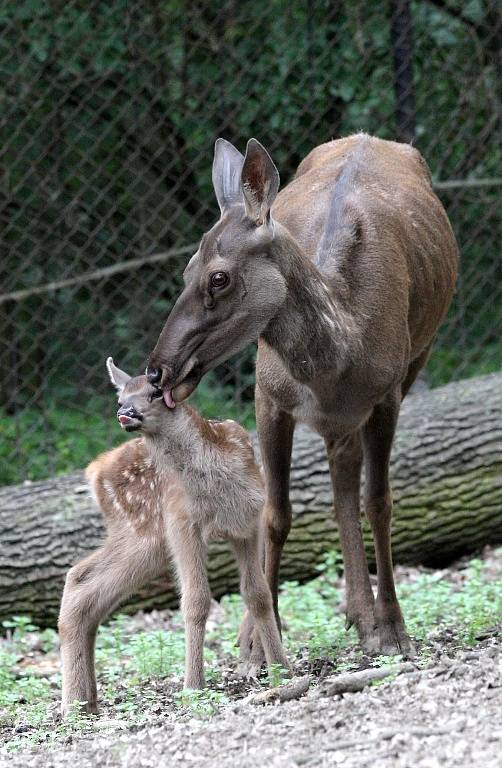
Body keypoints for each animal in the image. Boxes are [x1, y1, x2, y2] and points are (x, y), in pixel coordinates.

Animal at [146, 134, 458, 664]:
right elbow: (275, 512)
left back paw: (366, 616)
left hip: (420, 354)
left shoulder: (388, 393)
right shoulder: (268, 394)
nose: (157, 369)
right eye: (187, 268)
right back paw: (352, 613)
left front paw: (394, 629)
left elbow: (380, 502)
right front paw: (256, 641)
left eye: (219, 277)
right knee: (340, 474)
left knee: (348, 481)